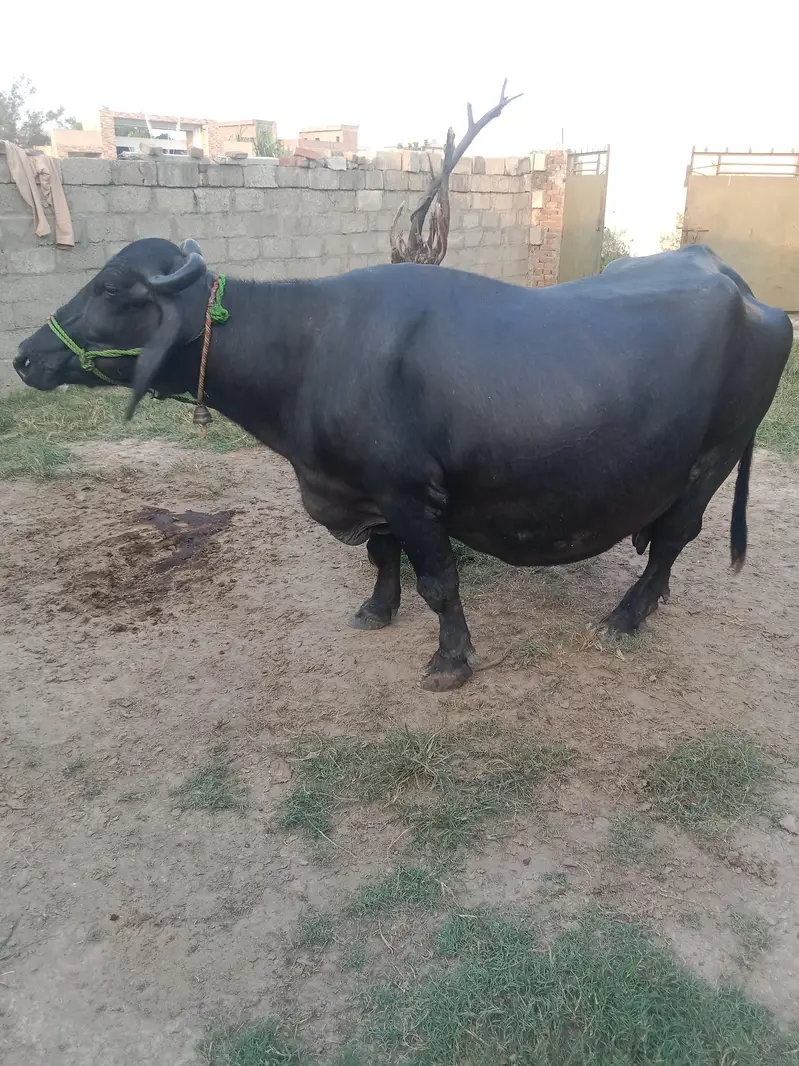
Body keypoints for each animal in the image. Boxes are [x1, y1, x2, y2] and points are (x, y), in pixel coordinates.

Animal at [15, 239, 792, 689]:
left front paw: (450, 662)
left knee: (672, 537)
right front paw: (375, 610)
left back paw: (627, 616)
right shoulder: (365, 490)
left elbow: (439, 583)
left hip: (714, 458)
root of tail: (748, 293)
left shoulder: (412, 496)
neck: (308, 351)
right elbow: (381, 559)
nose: (25, 355)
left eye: (112, 290)